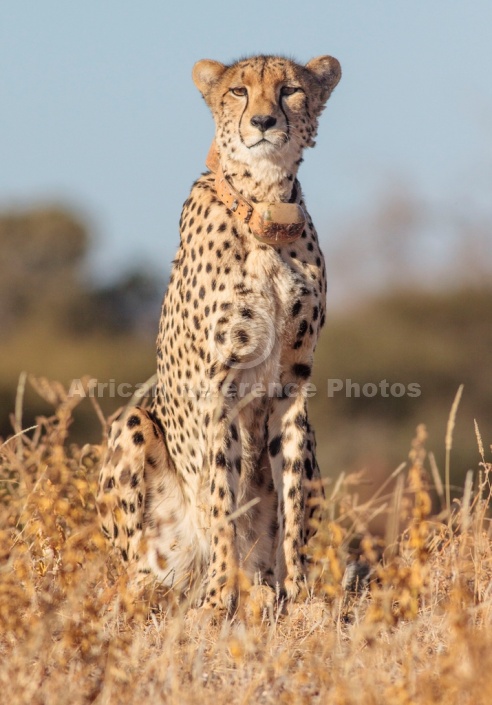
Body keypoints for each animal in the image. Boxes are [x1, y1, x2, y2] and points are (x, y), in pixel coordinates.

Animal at [96, 53, 342, 612]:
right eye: (237, 92)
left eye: (290, 89)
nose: (264, 122)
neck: (266, 208)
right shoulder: (219, 384)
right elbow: (220, 494)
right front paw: (217, 601)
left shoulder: (293, 384)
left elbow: (291, 501)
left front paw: (300, 596)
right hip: (132, 426)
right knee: (138, 571)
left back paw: (264, 590)